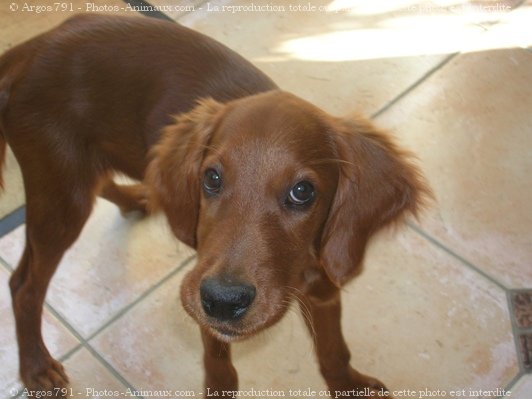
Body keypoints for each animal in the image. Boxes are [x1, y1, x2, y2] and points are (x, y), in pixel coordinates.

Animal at [0, 14, 428, 398]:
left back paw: (135, 198)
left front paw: (351, 385)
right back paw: (36, 367)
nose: (223, 301)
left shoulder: (325, 284)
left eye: (303, 191)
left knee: (99, 181)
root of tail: (26, 50)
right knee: (23, 284)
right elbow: (219, 363)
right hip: (59, 195)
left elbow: (334, 352)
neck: (294, 270)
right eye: (212, 178)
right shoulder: (204, 288)